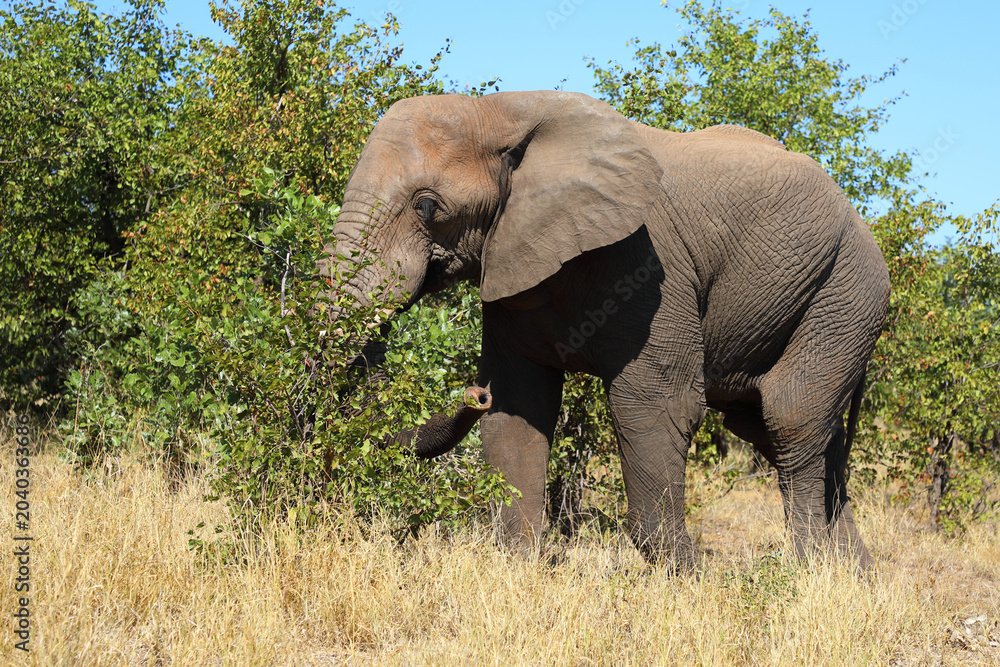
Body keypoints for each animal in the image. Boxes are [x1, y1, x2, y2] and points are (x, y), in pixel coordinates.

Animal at [320, 90, 890, 571]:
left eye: (427, 206)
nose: (473, 393)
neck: (500, 110)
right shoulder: (513, 260)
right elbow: (518, 409)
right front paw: (520, 569)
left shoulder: (649, 266)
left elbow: (656, 405)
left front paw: (689, 580)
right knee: (776, 429)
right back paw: (855, 577)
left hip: (846, 289)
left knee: (789, 417)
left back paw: (809, 572)